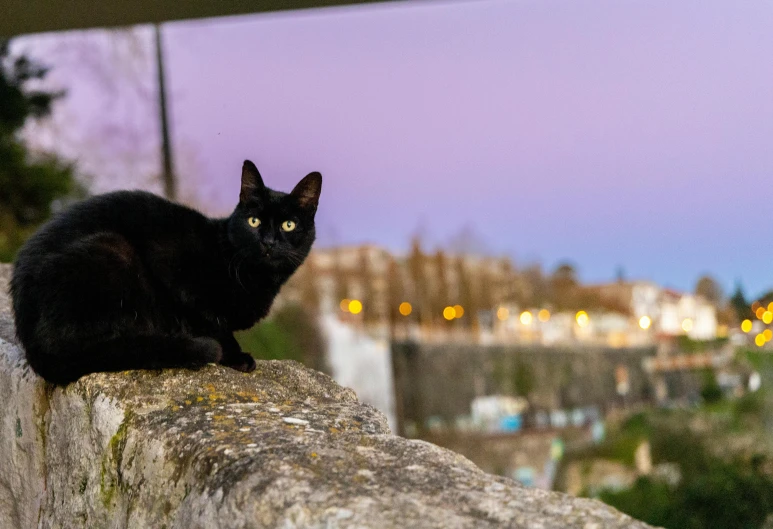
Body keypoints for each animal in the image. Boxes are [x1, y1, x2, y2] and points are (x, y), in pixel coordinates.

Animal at [9, 161, 316, 384]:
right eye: (254, 221)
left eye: (288, 225)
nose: (268, 242)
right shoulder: (175, 274)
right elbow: (213, 324)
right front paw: (236, 356)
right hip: (112, 248)